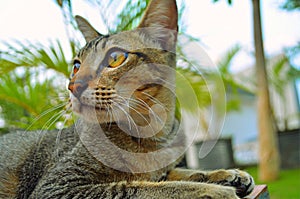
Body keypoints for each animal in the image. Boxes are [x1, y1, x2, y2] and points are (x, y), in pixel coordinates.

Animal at [0, 0, 254, 198]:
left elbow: (179, 174)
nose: (73, 85)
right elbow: (143, 188)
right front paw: (214, 190)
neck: (150, 137)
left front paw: (228, 174)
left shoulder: (163, 169)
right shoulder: (58, 186)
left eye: (115, 58)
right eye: (76, 66)